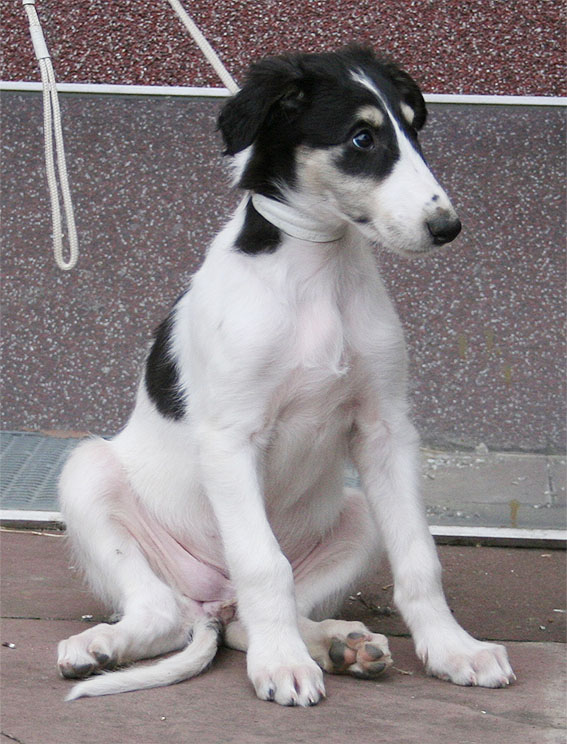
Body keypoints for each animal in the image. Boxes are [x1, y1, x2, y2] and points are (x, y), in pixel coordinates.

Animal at [57, 46, 514, 705]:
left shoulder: (385, 430)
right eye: (361, 137)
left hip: (358, 515)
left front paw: (455, 649)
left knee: (247, 620)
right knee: (166, 612)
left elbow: (420, 558)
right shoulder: (230, 439)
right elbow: (262, 564)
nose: (447, 228)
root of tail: (213, 602)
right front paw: (281, 664)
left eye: (414, 130)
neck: (317, 268)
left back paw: (339, 644)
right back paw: (104, 646)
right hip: (90, 476)